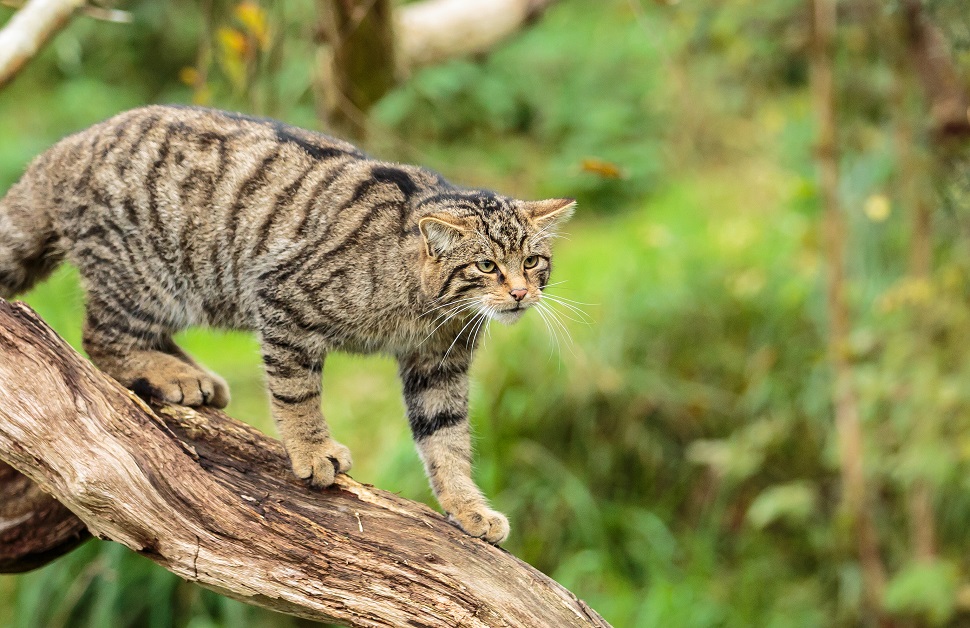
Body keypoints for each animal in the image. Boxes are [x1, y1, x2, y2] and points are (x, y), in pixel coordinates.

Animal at [0, 105, 572, 544]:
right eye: (487, 267)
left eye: (533, 262)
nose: (520, 294)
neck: (425, 306)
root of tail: (67, 146)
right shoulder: (283, 302)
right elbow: (297, 395)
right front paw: (313, 451)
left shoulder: (440, 366)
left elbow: (447, 440)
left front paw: (468, 507)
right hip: (145, 280)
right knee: (101, 338)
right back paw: (170, 373)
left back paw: (192, 375)